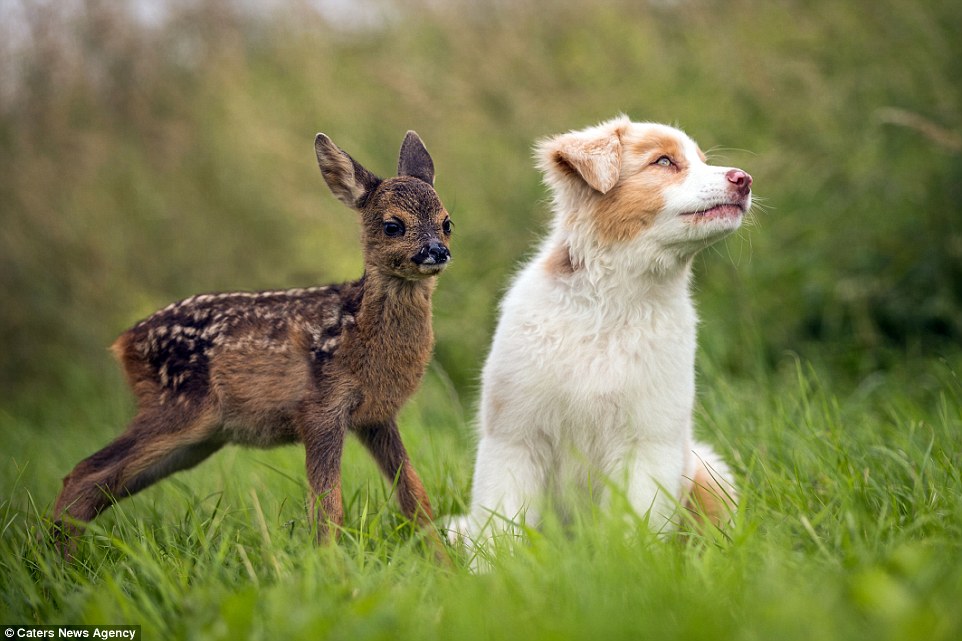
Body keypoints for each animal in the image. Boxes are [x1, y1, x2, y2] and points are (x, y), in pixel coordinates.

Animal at [52, 129, 454, 544]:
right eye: (393, 226)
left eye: (446, 222)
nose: (436, 251)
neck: (357, 330)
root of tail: (124, 343)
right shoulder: (320, 408)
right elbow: (328, 508)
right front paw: (327, 558)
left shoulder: (376, 417)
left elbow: (416, 499)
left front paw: (441, 558)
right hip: (177, 409)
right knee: (84, 474)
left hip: (198, 440)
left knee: (100, 482)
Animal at [450, 116, 752, 552]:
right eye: (664, 161)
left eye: (702, 160)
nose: (744, 179)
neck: (613, 303)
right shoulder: (515, 437)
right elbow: (501, 527)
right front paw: (493, 567)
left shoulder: (648, 442)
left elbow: (634, 526)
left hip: (707, 470)